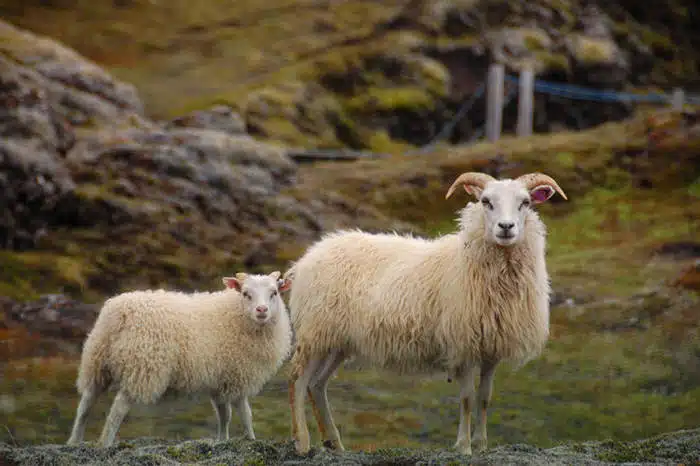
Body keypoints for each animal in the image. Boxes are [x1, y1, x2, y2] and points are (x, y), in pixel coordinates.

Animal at [66, 271, 293, 447]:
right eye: (246, 294)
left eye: (274, 293)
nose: (261, 310)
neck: (236, 315)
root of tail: (119, 313)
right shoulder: (239, 376)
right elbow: (245, 414)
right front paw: (251, 439)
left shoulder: (220, 379)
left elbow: (224, 415)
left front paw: (222, 440)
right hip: (142, 367)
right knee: (117, 410)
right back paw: (104, 443)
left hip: (97, 360)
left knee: (86, 403)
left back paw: (74, 441)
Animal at [286, 172, 567, 455]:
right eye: (486, 201)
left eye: (525, 202)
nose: (506, 227)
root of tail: (307, 257)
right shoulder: (463, 345)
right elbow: (467, 398)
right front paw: (464, 446)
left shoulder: (491, 348)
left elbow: (485, 398)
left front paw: (481, 445)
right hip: (315, 332)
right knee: (298, 381)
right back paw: (302, 441)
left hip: (337, 341)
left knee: (317, 384)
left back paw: (333, 442)